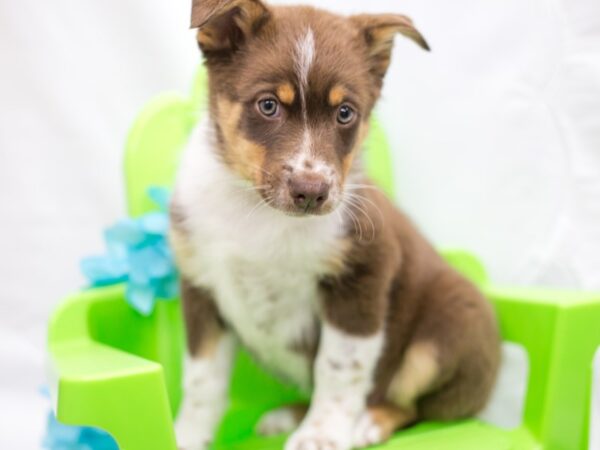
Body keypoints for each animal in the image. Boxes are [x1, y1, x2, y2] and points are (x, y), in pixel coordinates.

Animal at [171, 1, 500, 448]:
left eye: (345, 112)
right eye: (268, 105)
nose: (311, 192)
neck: (258, 213)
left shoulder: (360, 277)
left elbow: (339, 366)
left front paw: (321, 435)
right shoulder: (201, 285)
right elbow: (202, 381)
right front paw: (185, 436)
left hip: (449, 328)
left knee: (412, 405)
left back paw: (368, 422)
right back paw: (289, 414)